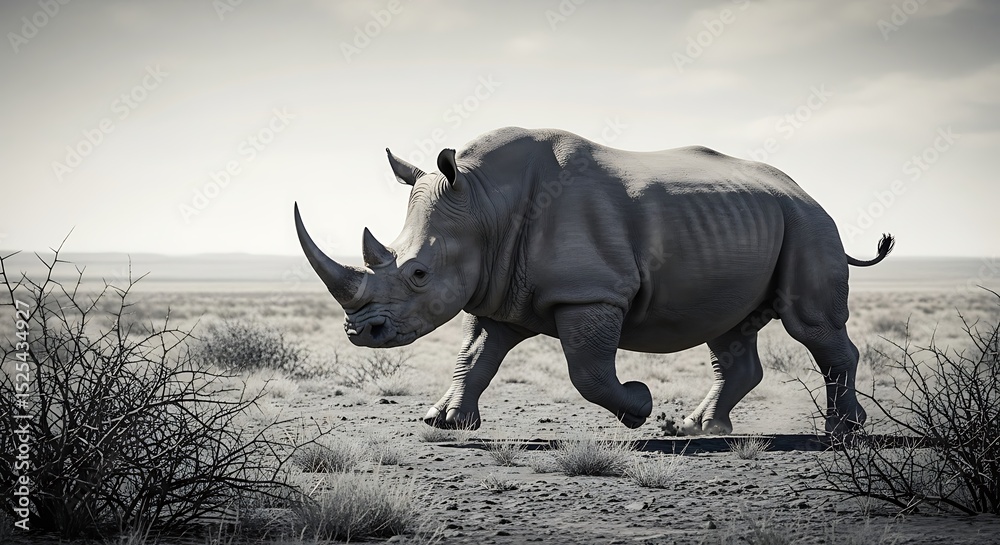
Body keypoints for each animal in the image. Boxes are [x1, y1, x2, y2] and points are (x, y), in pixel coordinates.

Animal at [294, 127, 893, 435]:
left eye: (418, 273)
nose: (360, 333)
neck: (484, 202)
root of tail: (807, 193)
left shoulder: (590, 292)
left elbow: (586, 370)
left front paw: (641, 406)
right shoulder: (499, 290)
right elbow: (477, 354)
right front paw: (445, 423)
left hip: (808, 226)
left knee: (808, 325)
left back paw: (842, 432)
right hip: (758, 224)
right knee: (729, 331)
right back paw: (698, 429)